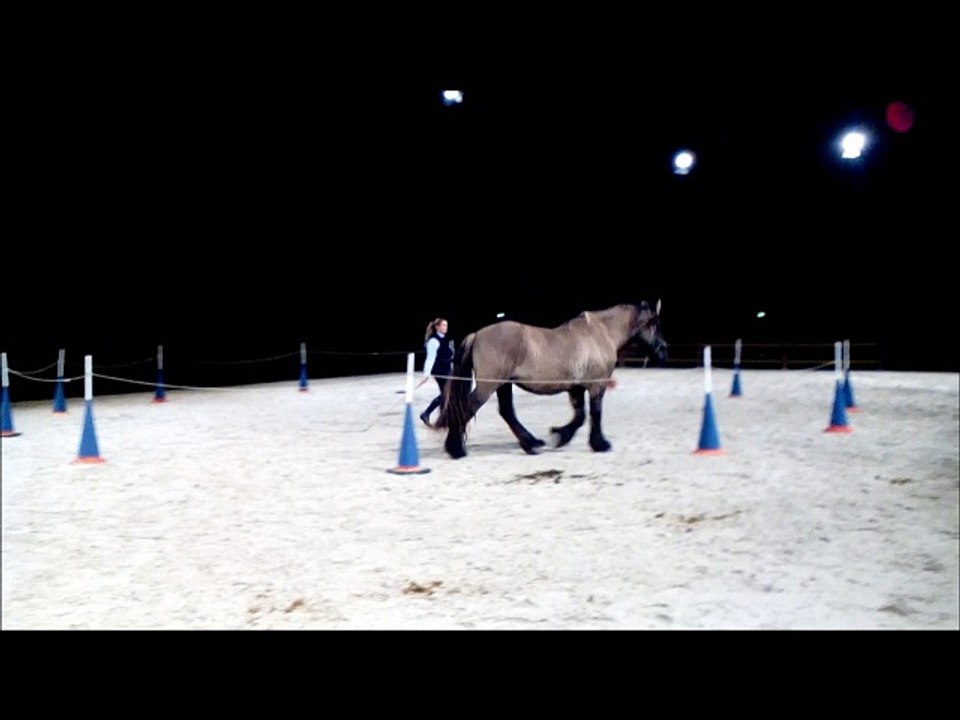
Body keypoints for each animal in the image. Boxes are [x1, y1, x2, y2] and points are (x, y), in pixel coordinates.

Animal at [435, 302, 667, 459]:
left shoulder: (576, 388)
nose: (663, 350)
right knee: (468, 408)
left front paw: (559, 436)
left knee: (507, 412)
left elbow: (580, 416)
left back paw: (531, 444)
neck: (600, 333)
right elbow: (595, 414)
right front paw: (600, 444)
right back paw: (456, 449)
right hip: (488, 385)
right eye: (654, 324)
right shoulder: (596, 385)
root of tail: (477, 334)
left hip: (503, 385)